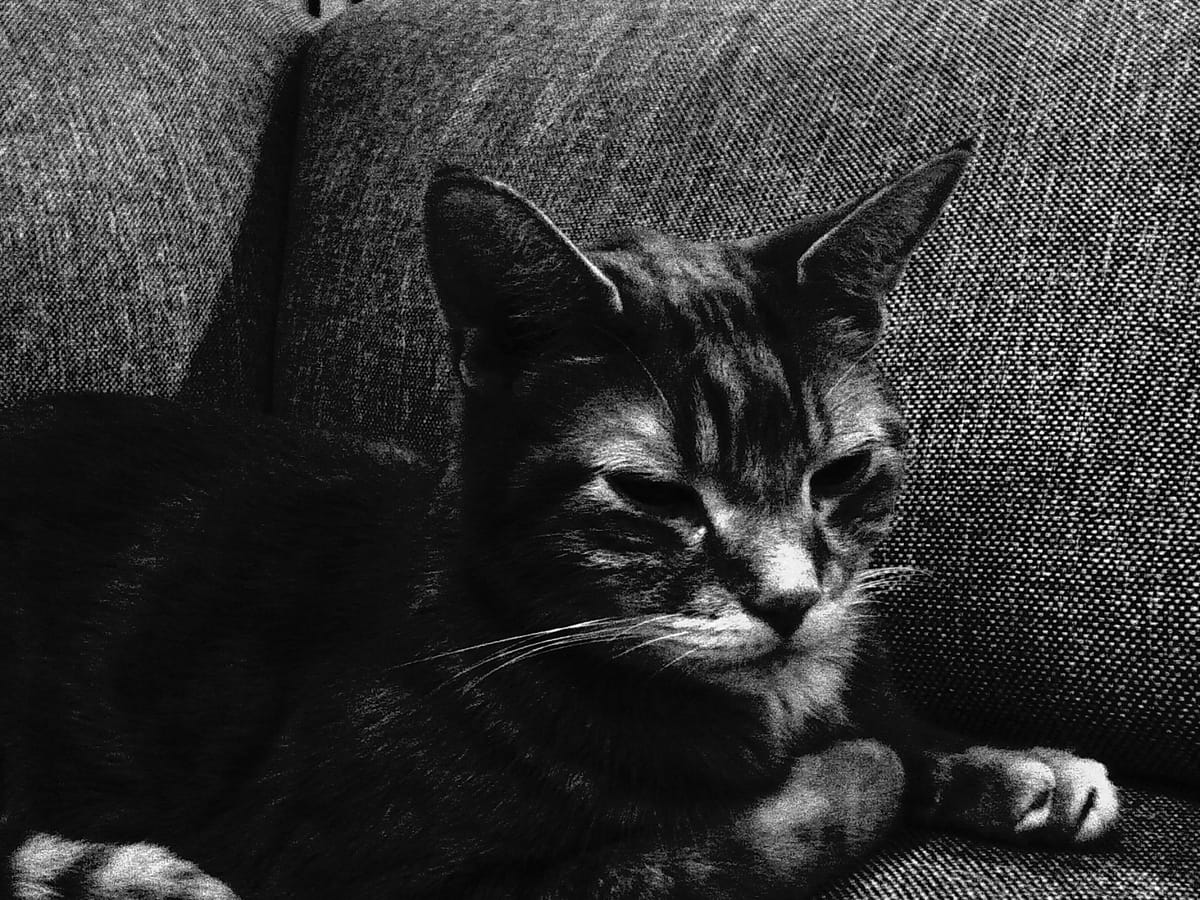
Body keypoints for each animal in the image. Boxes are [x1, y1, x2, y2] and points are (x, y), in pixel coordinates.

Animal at [2, 142, 1113, 900]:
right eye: (655, 497)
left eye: (841, 473)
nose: (793, 602)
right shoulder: (391, 872)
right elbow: (747, 831)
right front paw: (869, 767)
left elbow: (898, 726)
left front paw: (1010, 762)